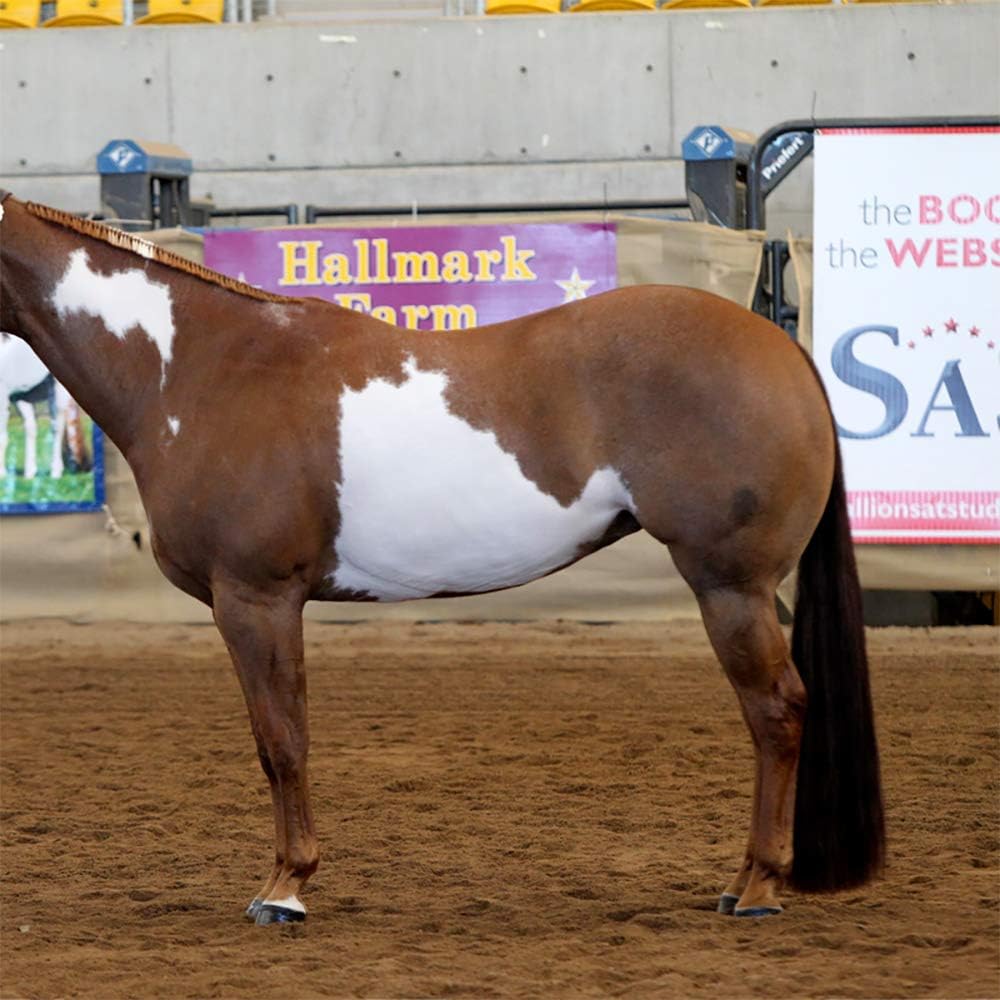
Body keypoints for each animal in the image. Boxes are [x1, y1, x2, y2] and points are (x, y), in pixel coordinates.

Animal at [1, 333, 90, 481]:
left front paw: (1, 473)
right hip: (22, 397)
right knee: (31, 427)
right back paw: (29, 473)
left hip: (56, 390)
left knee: (56, 427)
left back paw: (55, 472)